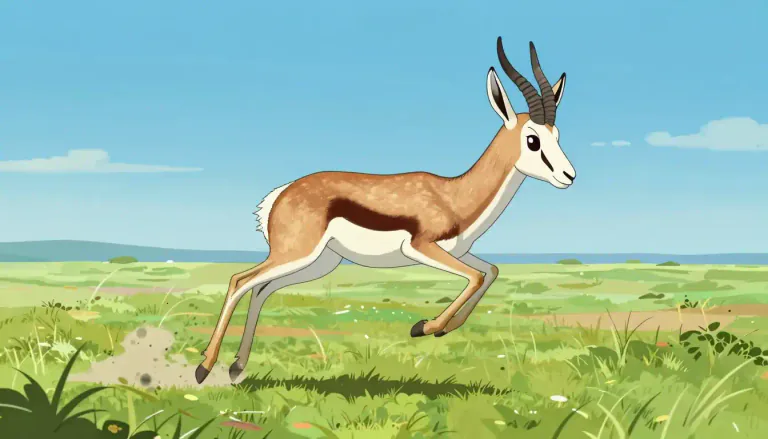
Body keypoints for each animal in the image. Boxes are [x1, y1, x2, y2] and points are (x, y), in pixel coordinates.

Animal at [195, 37, 576, 384]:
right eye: (532, 140)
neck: (454, 195)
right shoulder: (421, 247)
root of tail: (281, 194)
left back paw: (237, 368)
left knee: (262, 290)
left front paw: (440, 328)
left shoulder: (458, 251)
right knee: (240, 281)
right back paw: (204, 368)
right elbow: (477, 277)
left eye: (557, 135)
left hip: (318, 263)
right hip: (297, 255)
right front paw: (423, 327)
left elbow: (491, 271)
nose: (569, 175)